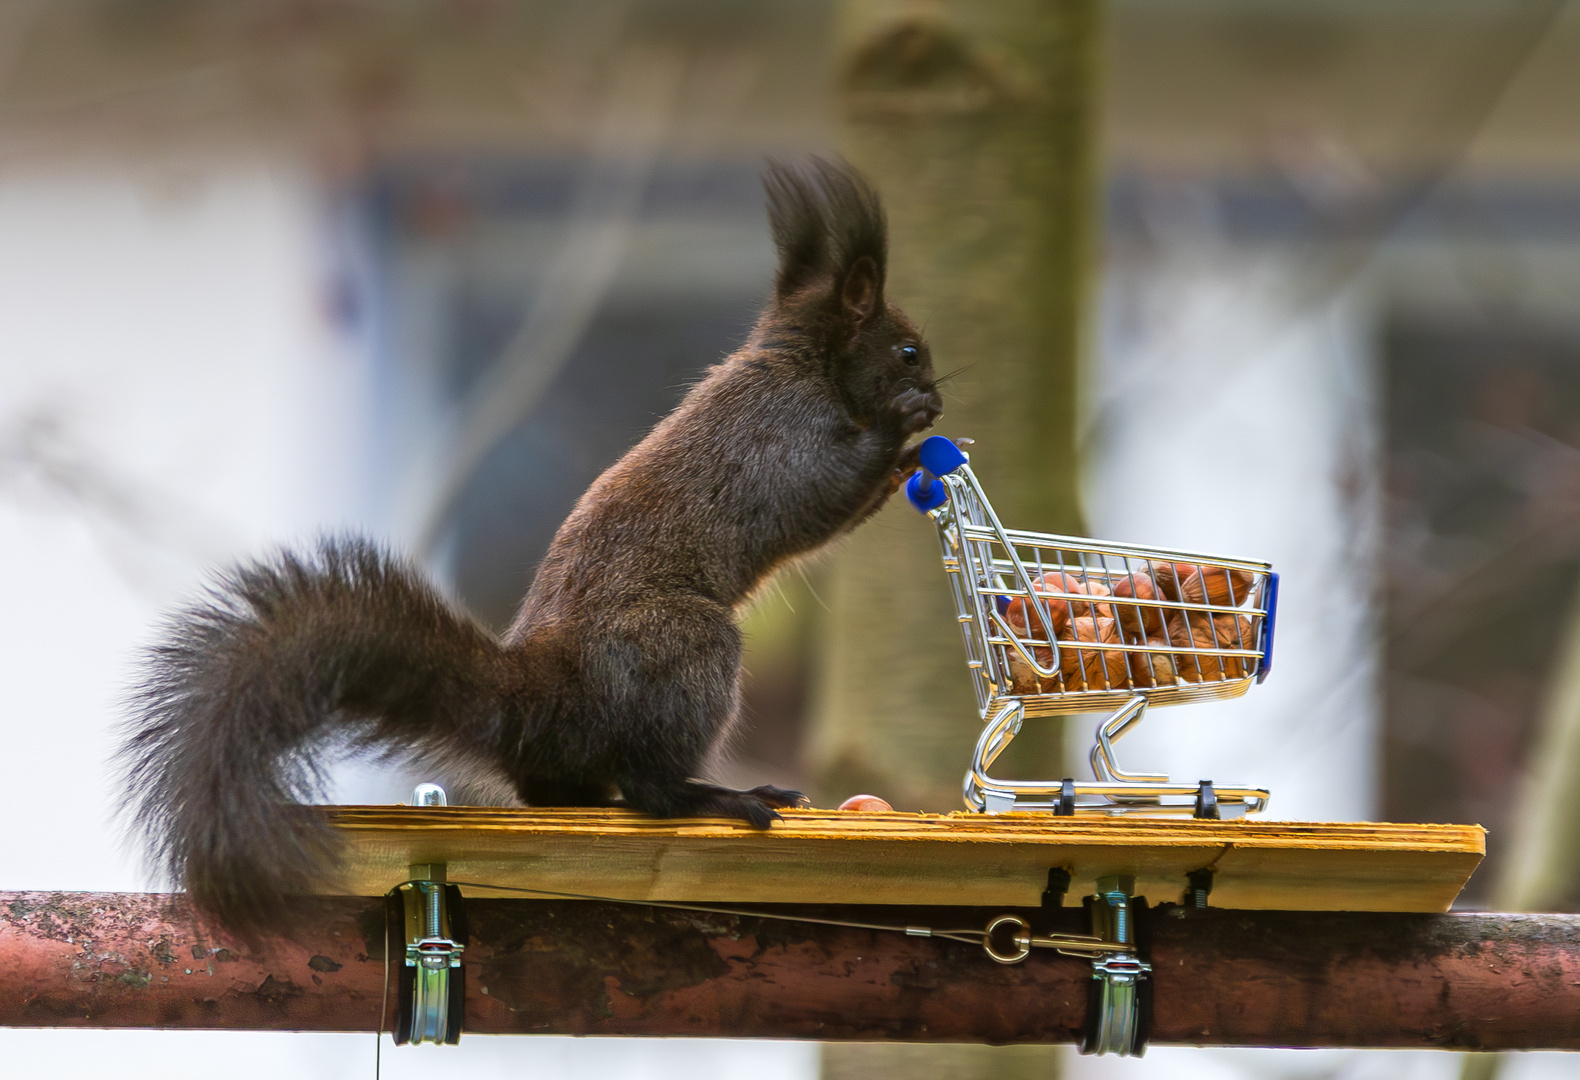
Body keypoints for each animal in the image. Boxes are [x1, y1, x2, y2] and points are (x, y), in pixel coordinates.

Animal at [123, 156, 941, 934]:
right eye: (908, 351)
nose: (937, 399)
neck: (802, 365)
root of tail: (547, 701)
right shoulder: (782, 442)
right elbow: (824, 495)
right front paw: (900, 431)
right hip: (684, 646)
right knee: (649, 788)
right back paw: (719, 797)